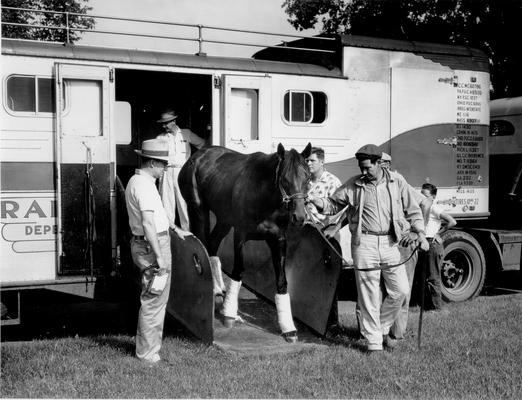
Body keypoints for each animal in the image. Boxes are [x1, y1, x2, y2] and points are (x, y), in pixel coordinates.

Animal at [177, 142, 310, 342]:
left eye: (307, 177)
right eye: (284, 179)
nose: (299, 217)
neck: (264, 197)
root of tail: (197, 155)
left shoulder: (278, 240)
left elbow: (282, 281)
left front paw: (289, 329)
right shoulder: (240, 235)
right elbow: (238, 271)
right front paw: (229, 314)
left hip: (224, 220)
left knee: (213, 244)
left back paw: (218, 290)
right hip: (199, 210)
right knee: (203, 244)